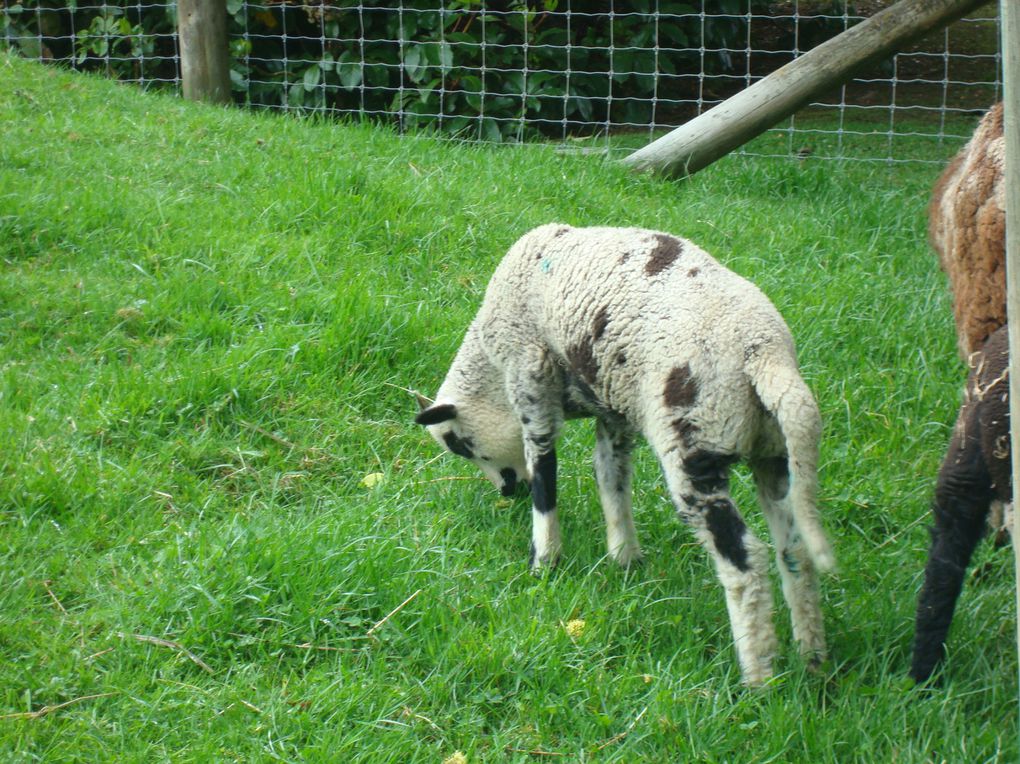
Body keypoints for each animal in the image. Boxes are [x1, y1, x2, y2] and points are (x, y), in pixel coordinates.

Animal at [418, 223, 832, 681]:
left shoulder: (531, 378)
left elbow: (545, 473)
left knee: (746, 560)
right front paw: (624, 558)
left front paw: (543, 561)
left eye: (461, 445)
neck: (491, 368)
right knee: (794, 551)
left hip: (693, 445)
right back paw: (811, 658)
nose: (510, 493)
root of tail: (765, 356)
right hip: (773, 454)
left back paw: (759, 675)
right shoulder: (613, 409)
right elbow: (611, 478)